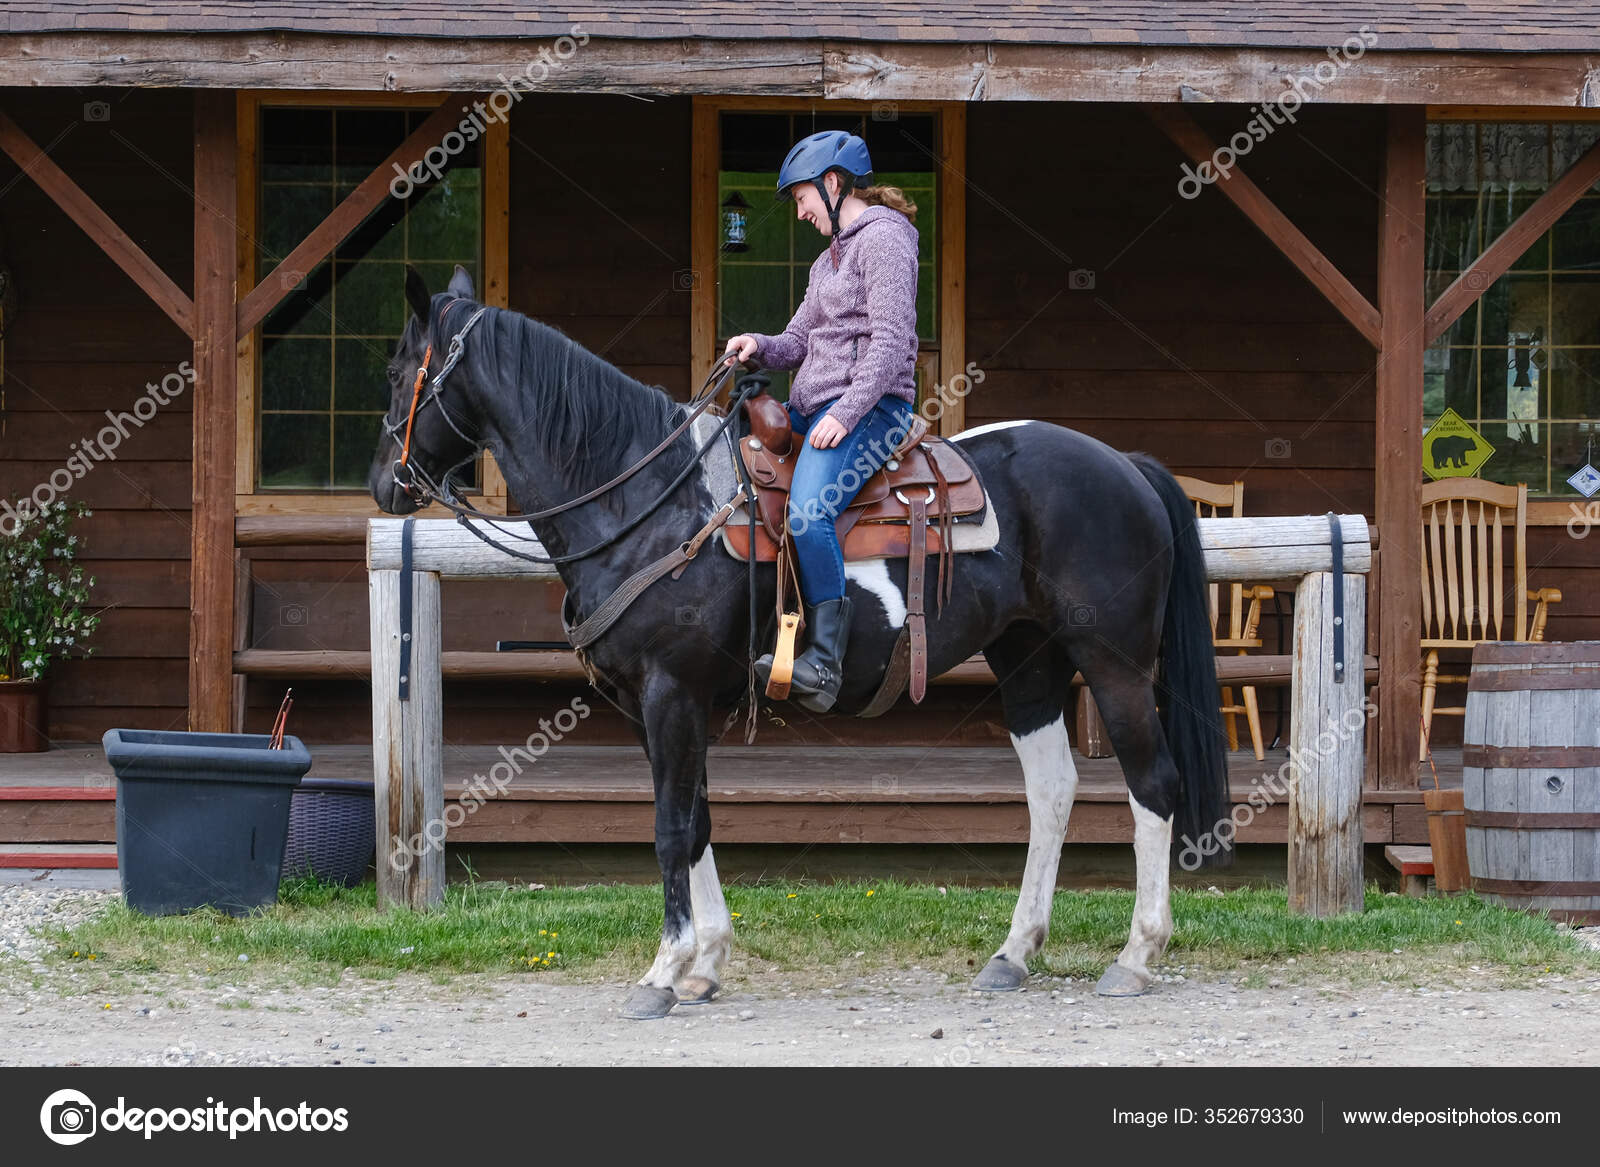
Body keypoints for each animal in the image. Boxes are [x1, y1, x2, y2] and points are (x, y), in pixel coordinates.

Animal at [371, 268, 1222, 1018]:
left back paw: (1137, 955)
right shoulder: (660, 704)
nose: (384, 483)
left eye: (399, 369)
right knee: (1052, 789)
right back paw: (1014, 952)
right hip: (1027, 660)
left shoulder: (672, 691)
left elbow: (670, 828)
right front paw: (705, 963)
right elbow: (697, 821)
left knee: (1154, 782)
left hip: (1112, 663)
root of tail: (1125, 465)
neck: (649, 502)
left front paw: (663, 970)